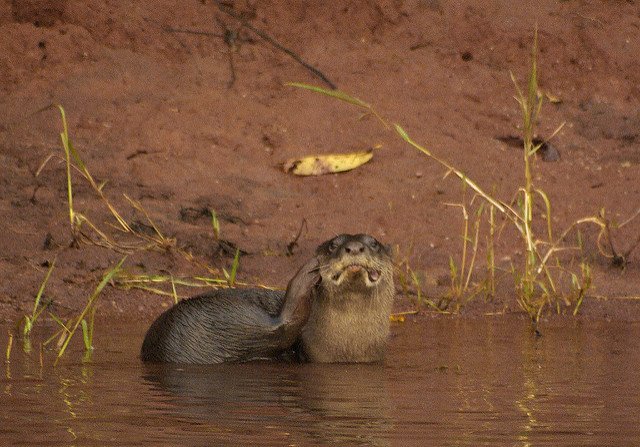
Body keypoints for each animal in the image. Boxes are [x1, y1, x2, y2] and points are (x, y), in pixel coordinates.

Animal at [140, 234, 396, 364]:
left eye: (374, 243)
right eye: (333, 245)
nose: (354, 247)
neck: (349, 348)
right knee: (278, 327)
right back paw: (305, 274)